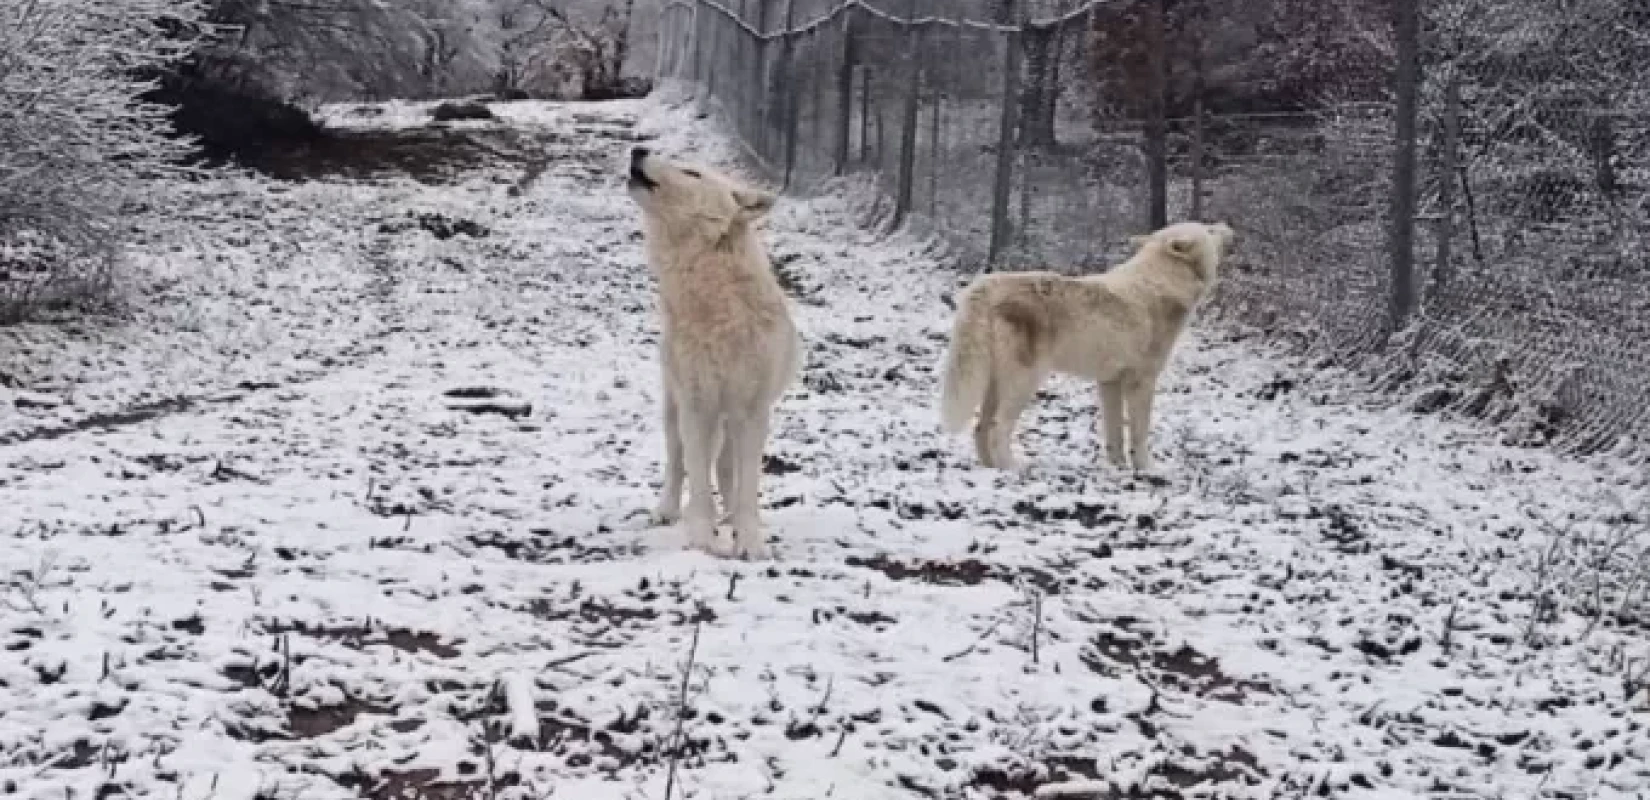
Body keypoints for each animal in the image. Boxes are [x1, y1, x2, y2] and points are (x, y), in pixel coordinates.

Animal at [623, 146, 798, 557]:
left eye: (692, 173)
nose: (638, 149)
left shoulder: (752, 411)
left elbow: (747, 486)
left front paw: (749, 542)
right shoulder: (697, 404)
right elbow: (698, 478)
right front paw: (702, 539)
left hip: (731, 417)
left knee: (728, 468)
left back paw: (731, 518)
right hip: (675, 408)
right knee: (678, 462)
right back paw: (668, 511)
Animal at [943, 221, 1240, 471]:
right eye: (1208, 229)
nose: (1226, 225)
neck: (1164, 283)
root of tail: (986, 285)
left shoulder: (1110, 383)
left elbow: (1114, 434)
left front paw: (1117, 467)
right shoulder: (1141, 382)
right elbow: (1139, 434)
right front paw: (1146, 470)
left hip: (996, 384)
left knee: (979, 428)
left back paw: (990, 468)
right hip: (1024, 383)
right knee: (997, 427)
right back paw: (1013, 469)